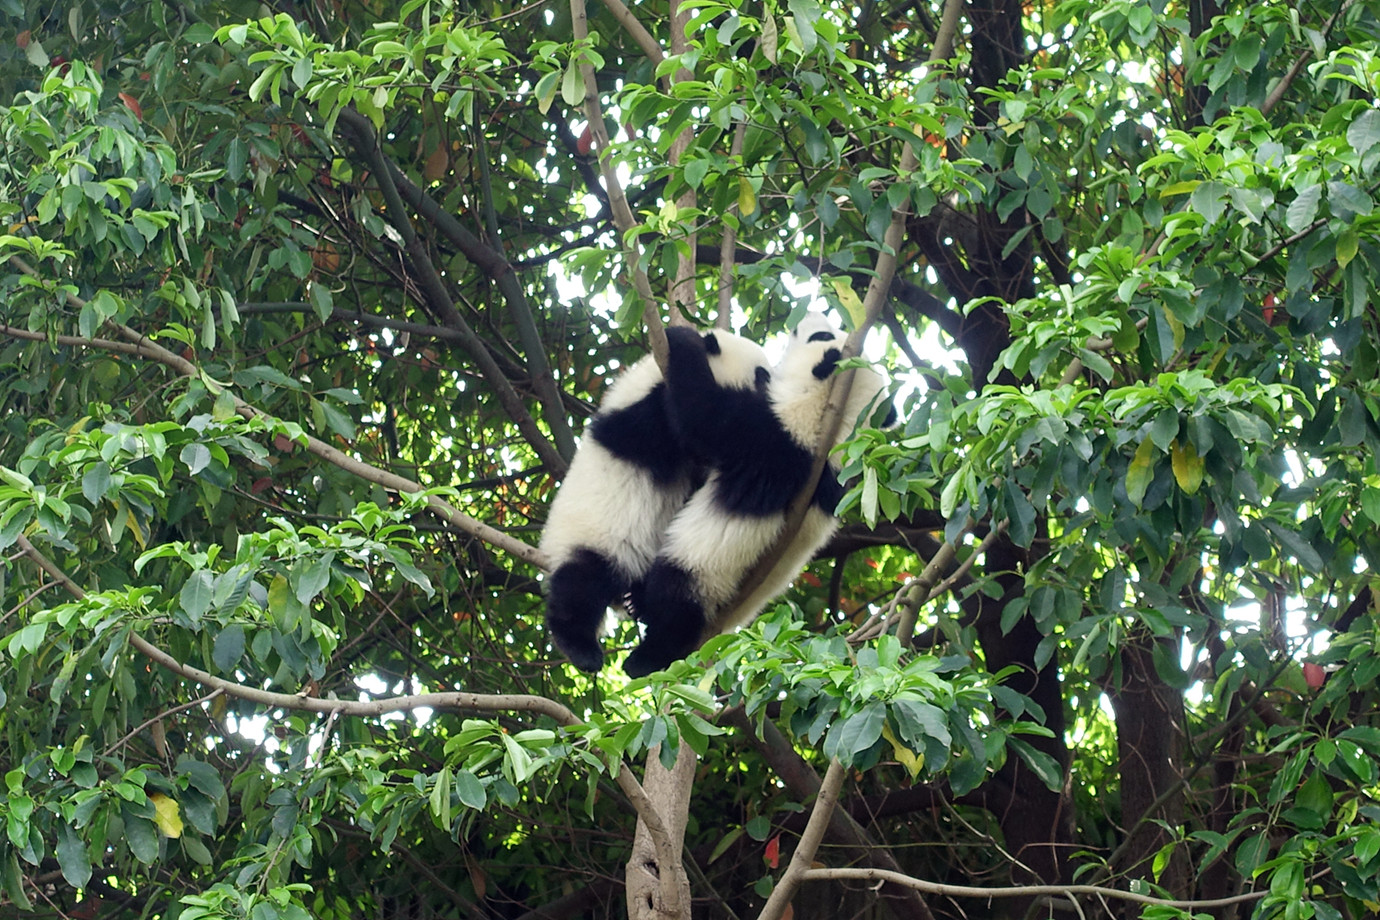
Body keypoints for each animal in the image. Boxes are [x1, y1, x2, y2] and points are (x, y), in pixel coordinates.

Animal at [540, 326, 778, 673]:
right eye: (761, 376)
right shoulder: (647, 409)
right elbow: (695, 422)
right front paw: (682, 336)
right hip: (595, 534)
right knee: (582, 581)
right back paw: (583, 648)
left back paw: (639, 609)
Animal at [626, 314, 894, 675]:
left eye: (821, 336)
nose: (810, 315)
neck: (837, 421)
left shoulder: (772, 434)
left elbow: (703, 417)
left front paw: (683, 339)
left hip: (702, 574)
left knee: (674, 600)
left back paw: (646, 653)